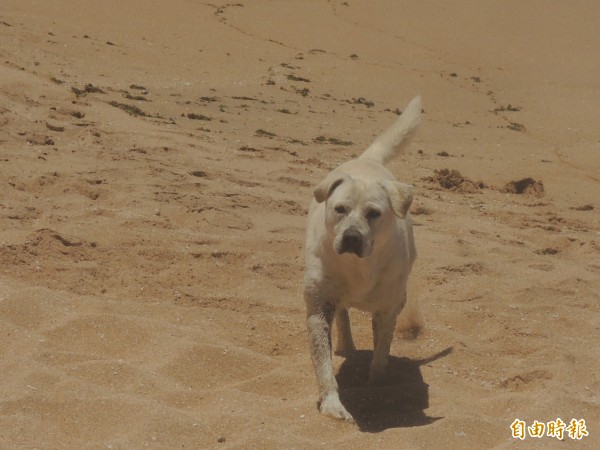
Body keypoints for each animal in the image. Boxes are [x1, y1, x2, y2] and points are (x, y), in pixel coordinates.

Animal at [302, 95, 420, 422]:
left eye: (374, 213)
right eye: (339, 209)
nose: (352, 237)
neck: (359, 267)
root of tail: (369, 160)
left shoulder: (387, 309)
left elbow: (381, 350)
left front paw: (376, 385)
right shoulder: (318, 307)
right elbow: (322, 364)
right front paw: (332, 404)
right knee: (343, 316)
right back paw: (346, 345)